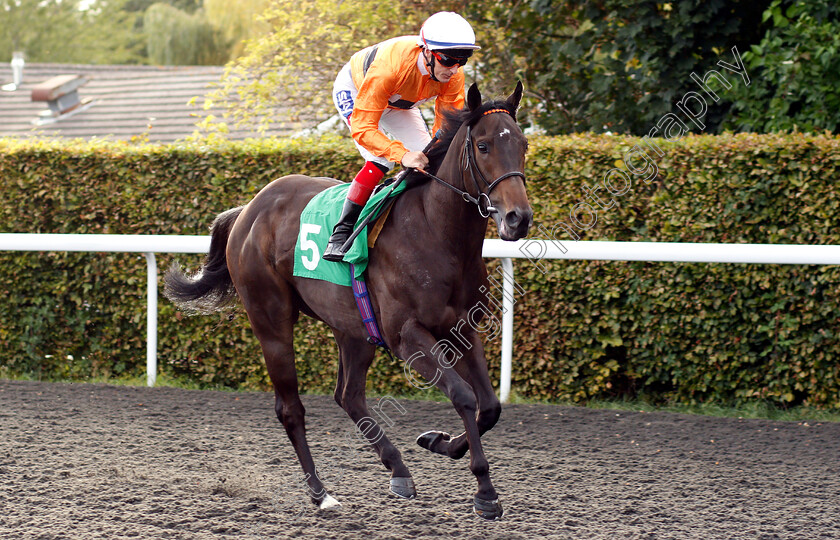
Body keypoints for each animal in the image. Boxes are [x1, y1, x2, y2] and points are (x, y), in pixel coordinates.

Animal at [164, 81, 532, 520]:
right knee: (290, 408)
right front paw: (484, 491)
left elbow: (489, 405)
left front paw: (439, 443)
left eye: (524, 144)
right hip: (270, 320)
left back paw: (398, 469)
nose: (518, 218)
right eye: (483, 145)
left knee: (349, 395)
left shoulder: (461, 328)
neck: (435, 233)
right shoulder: (407, 336)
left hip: (353, 328)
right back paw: (321, 493)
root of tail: (247, 211)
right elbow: (462, 395)